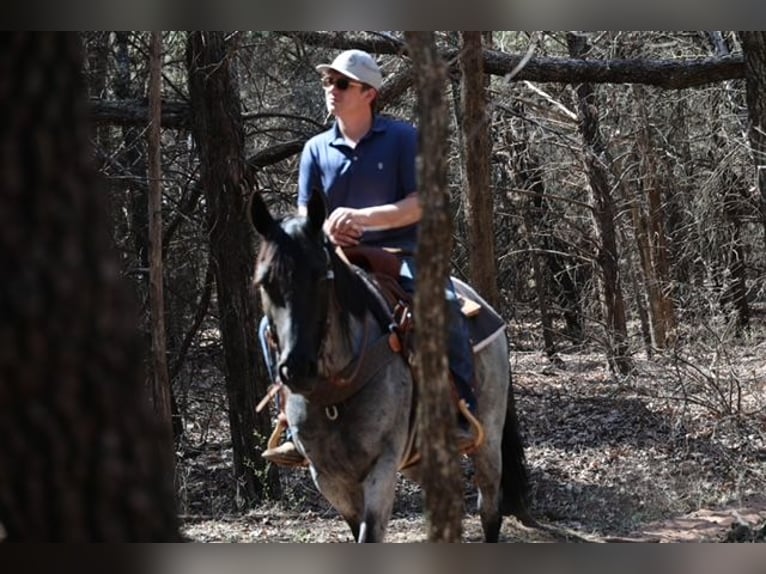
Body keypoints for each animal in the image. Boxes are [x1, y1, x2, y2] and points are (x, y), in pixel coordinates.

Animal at [249, 190, 530, 542]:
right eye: (264, 282)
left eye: (321, 277)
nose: (298, 368)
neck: (335, 394)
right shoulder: (327, 477)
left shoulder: (382, 466)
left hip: (488, 439)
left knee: (489, 508)